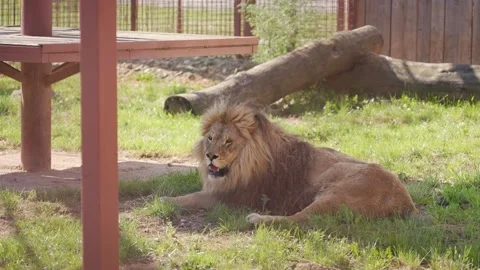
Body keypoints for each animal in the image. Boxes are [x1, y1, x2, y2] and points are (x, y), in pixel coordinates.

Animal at [163, 101, 418, 224]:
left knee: (300, 220)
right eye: (210, 138)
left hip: (338, 190)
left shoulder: (231, 198)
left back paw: (258, 219)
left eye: (229, 142)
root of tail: (406, 203)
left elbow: (191, 197)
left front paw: (164, 200)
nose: (210, 155)